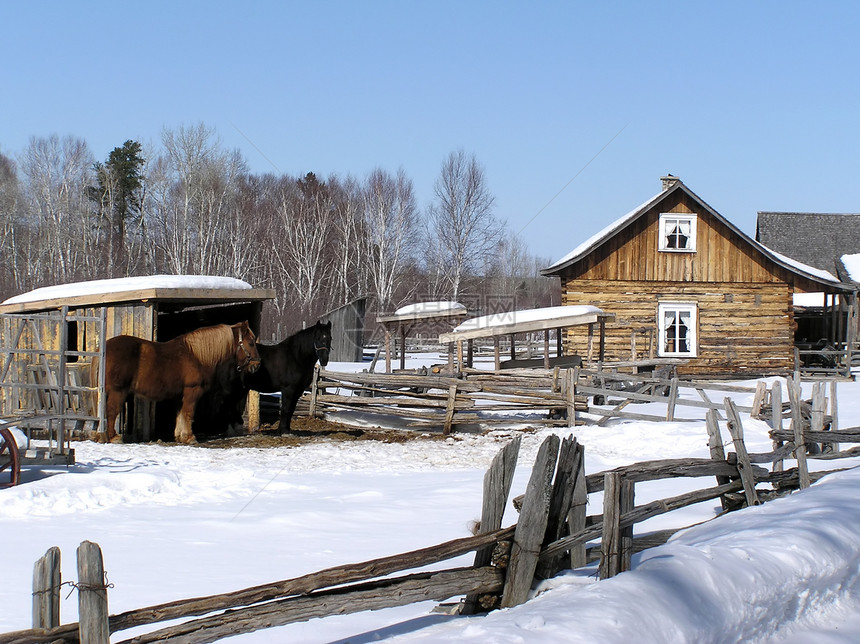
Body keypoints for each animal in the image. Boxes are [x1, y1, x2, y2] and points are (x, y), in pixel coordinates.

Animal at [102, 320, 260, 442]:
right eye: (251, 342)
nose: (256, 365)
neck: (197, 356)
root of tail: (105, 347)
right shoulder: (192, 391)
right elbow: (189, 413)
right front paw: (189, 437)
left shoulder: (180, 395)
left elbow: (180, 415)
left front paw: (180, 436)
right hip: (118, 391)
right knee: (111, 411)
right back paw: (114, 437)